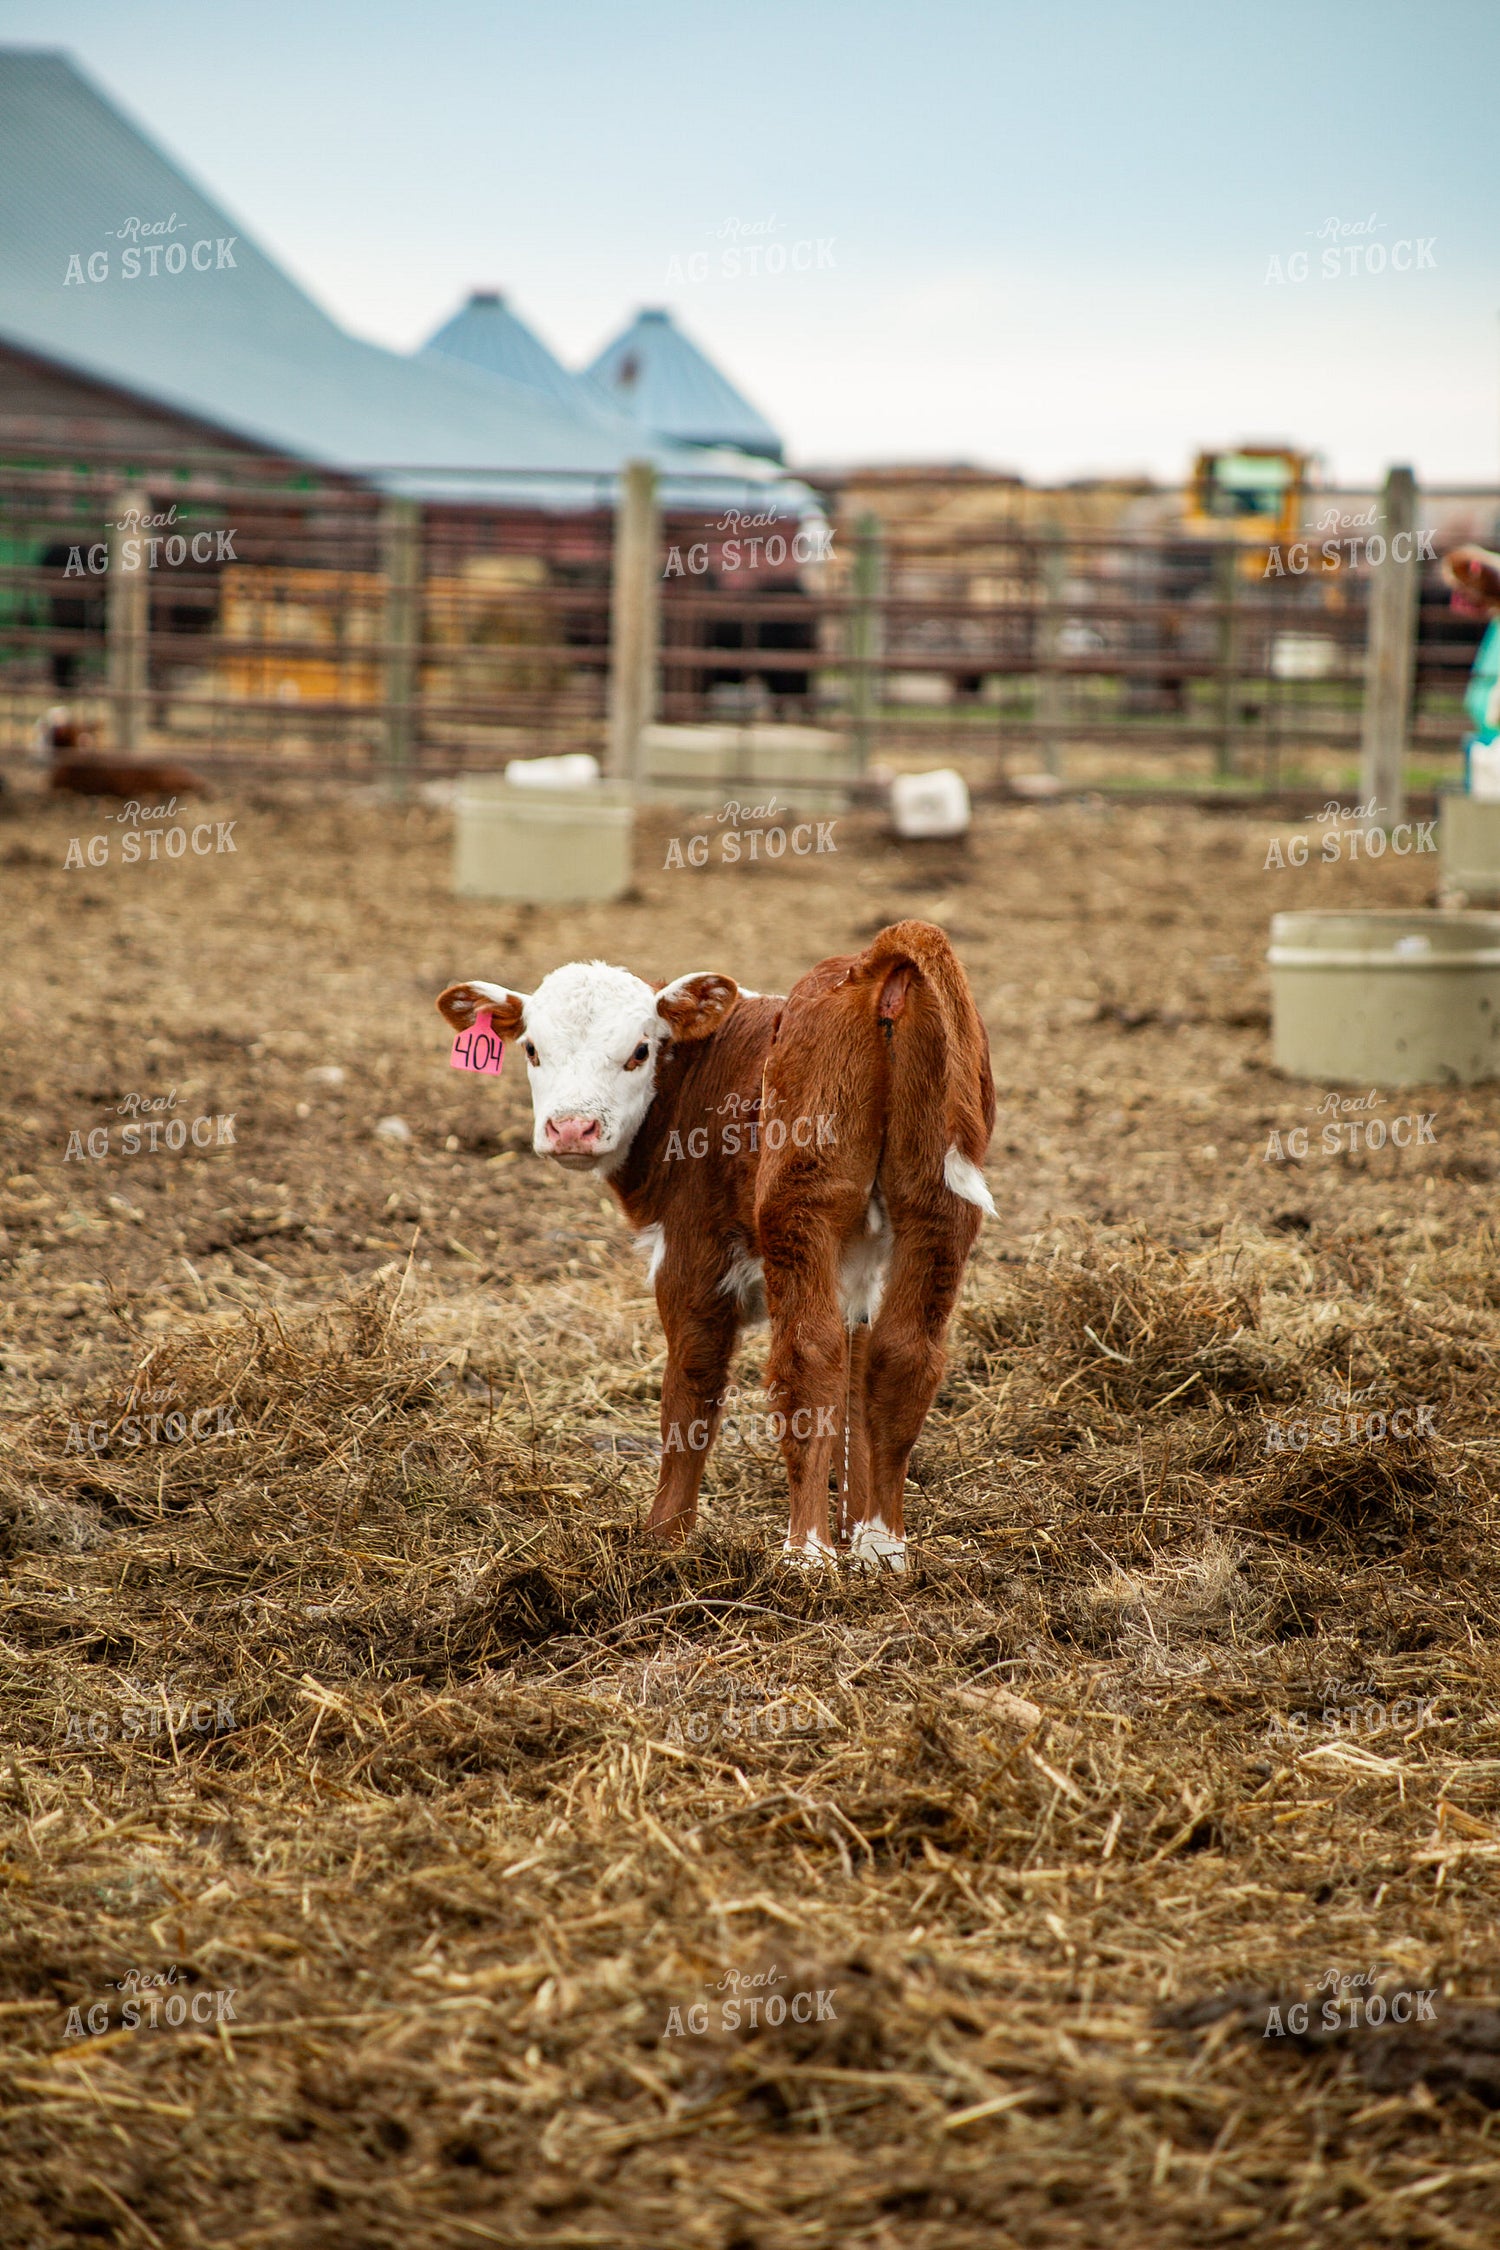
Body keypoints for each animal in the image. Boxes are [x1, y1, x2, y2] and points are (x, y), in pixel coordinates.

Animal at [437, 918, 995, 1568]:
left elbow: (692, 1389)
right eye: (532, 1049)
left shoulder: (692, 1255)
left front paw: (663, 1540)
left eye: (640, 1051)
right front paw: (858, 1544)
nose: (572, 1129)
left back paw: (805, 1554)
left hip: (800, 1201)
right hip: (936, 1208)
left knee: (808, 1355)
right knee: (904, 1355)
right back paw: (886, 1549)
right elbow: (857, 1384)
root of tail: (874, 967)